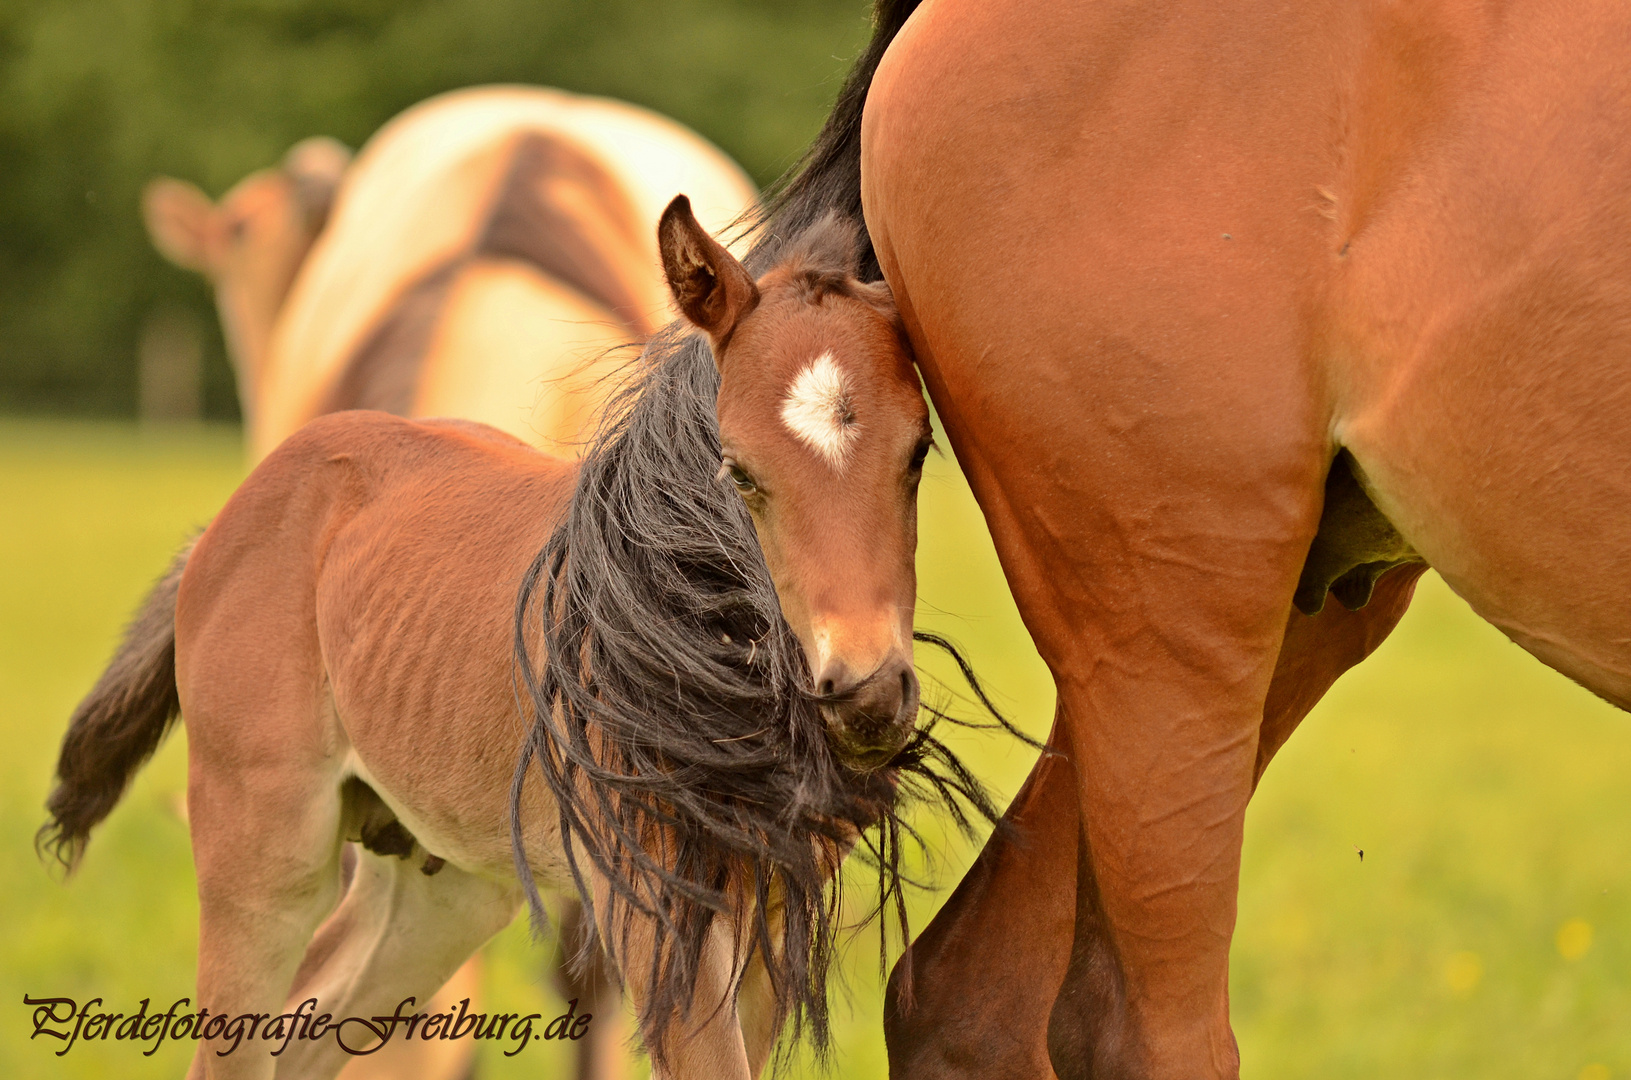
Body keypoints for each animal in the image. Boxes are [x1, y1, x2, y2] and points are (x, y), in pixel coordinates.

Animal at [38, 200, 926, 1080]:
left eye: (919, 450)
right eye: (738, 472)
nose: (866, 694)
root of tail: (228, 519)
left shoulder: (769, 911)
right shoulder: (654, 913)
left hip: (440, 882)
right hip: (261, 859)